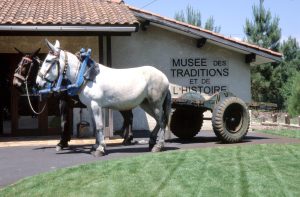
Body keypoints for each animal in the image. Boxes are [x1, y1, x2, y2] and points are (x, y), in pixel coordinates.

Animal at [36, 40, 171, 157]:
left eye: (48, 60)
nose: (38, 83)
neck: (86, 76)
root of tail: (164, 77)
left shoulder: (96, 105)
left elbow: (99, 125)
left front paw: (100, 149)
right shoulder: (89, 106)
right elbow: (95, 126)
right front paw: (95, 146)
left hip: (155, 104)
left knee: (162, 121)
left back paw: (157, 146)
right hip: (146, 104)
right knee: (158, 121)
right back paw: (151, 142)